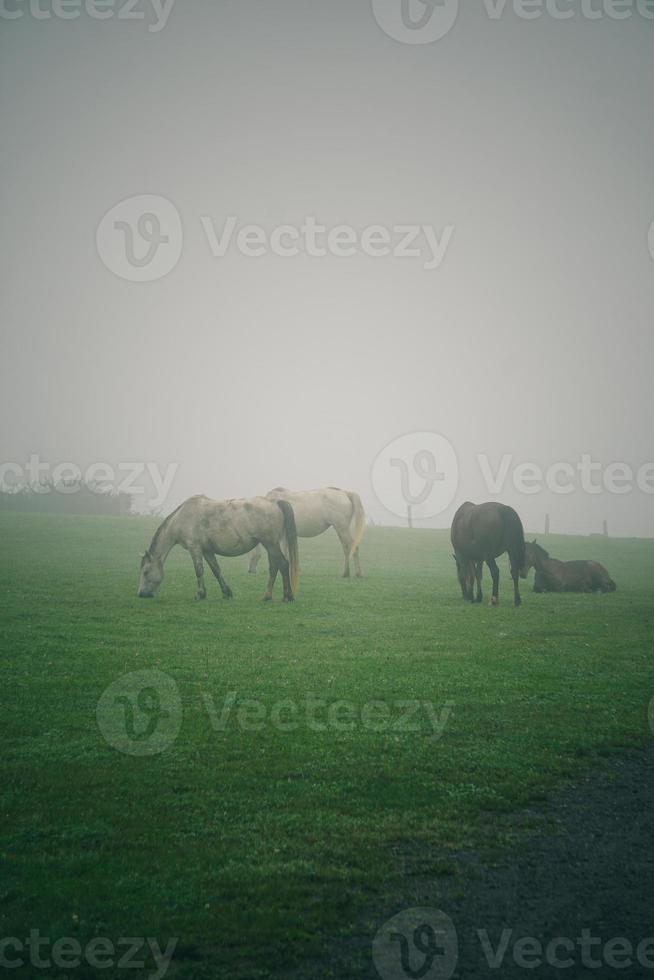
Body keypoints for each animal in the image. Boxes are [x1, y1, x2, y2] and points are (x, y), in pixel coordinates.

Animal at [141, 494, 302, 600]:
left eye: (145, 571)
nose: (141, 594)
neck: (182, 517)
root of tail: (274, 502)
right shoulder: (207, 551)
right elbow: (216, 570)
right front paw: (226, 593)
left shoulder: (195, 548)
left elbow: (199, 570)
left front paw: (200, 594)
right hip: (270, 545)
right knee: (274, 567)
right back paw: (268, 596)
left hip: (270, 544)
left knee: (283, 564)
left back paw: (287, 596)